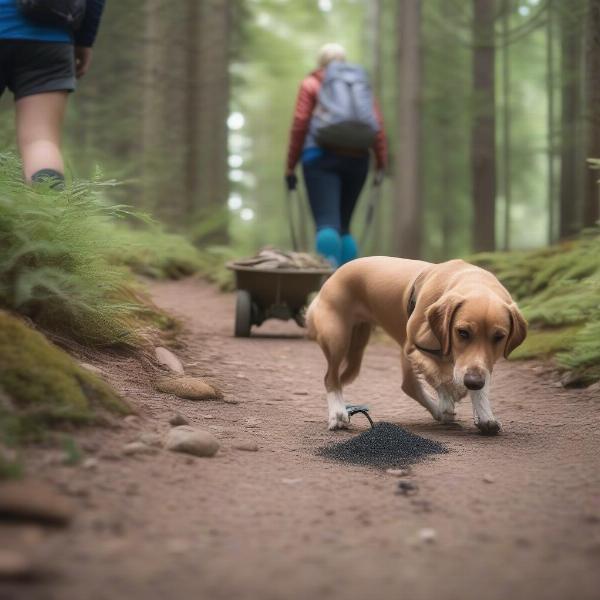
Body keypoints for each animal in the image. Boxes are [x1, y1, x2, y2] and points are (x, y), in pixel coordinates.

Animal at [308, 255, 528, 434]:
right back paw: (337, 413)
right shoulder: (414, 347)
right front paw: (451, 393)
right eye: (462, 332)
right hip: (337, 338)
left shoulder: (478, 364)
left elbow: (473, 379)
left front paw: (484, 415)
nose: (472, 382)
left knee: (410, 384)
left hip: (361, 344)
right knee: (331, 378)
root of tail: (334, 275)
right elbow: (439, 373)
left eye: (499, 337)